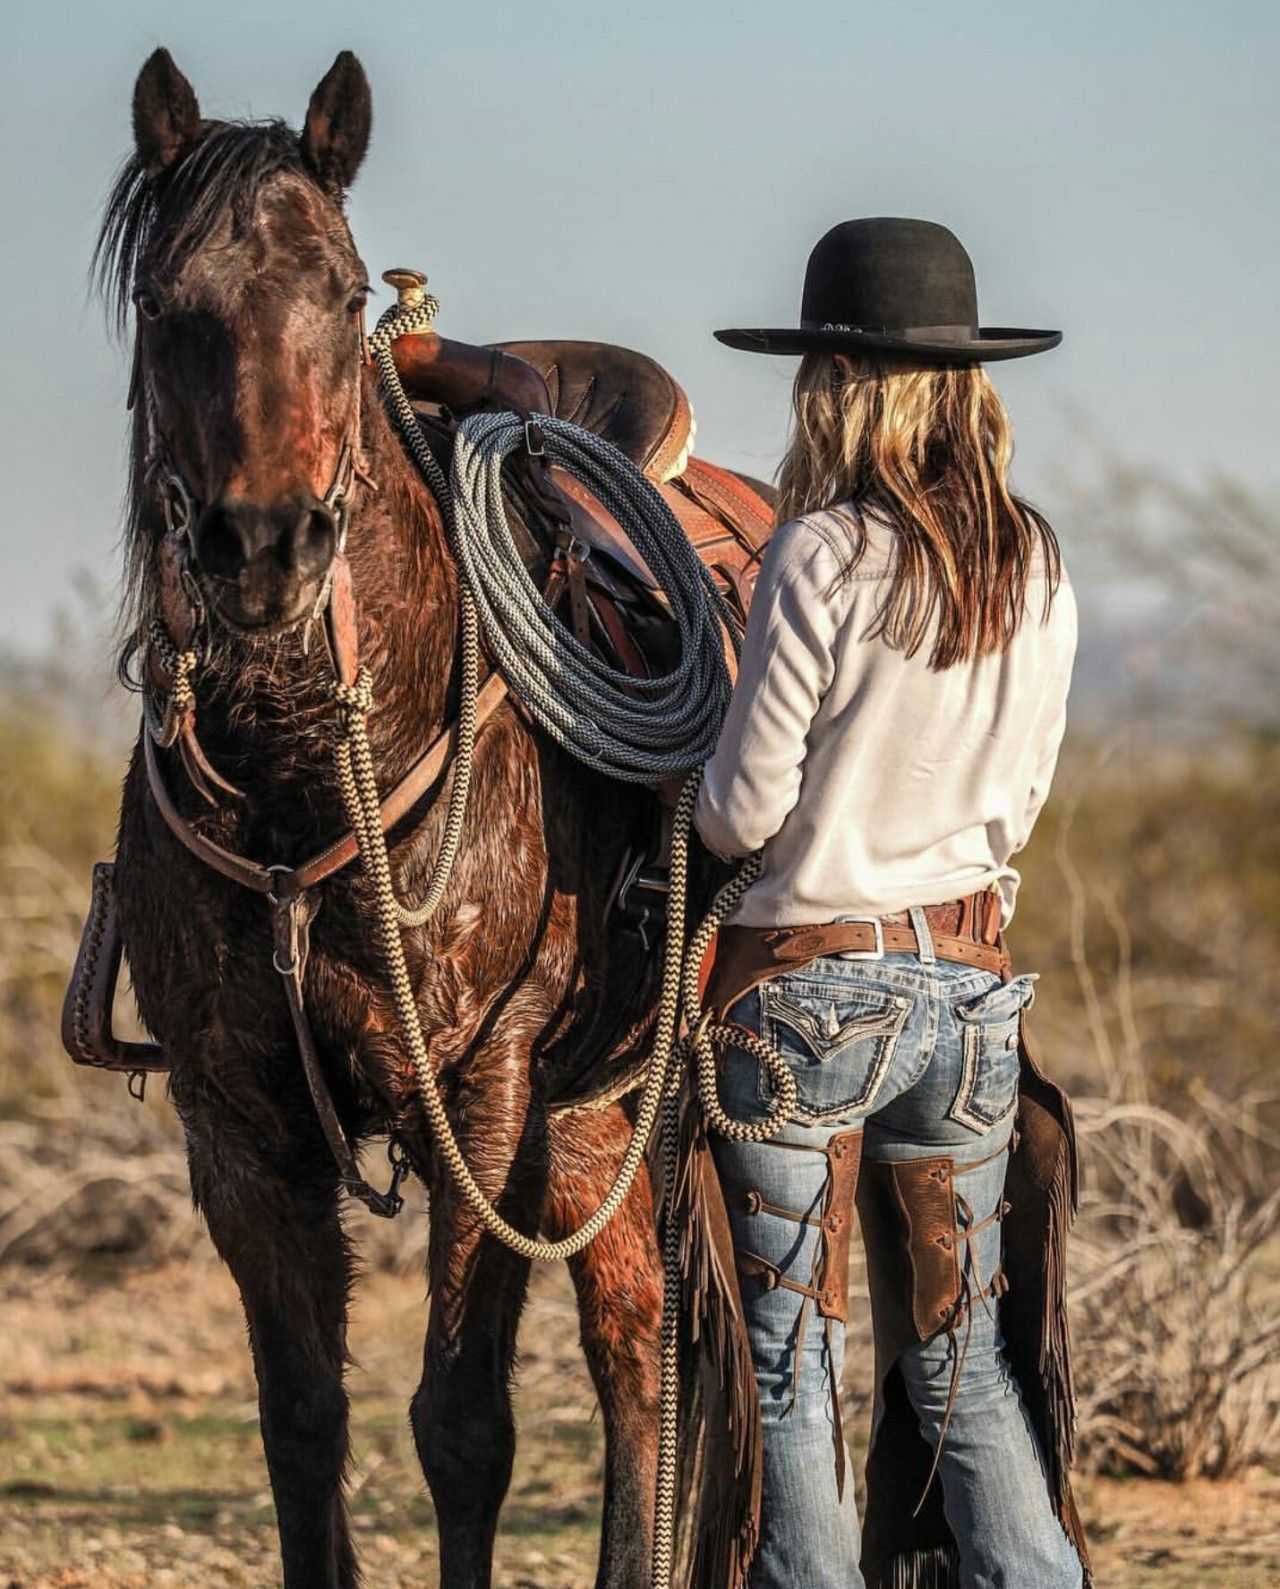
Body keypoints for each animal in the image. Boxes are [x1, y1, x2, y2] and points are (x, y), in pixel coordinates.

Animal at [96, 46, 682, 1589]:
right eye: (163, 302)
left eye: (347, 291)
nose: (263, 543)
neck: (302, 787)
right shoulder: (236, 1125)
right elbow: (303, 1424)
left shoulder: (479, 1095)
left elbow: (463, 1427)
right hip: (589, 1120)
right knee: (642, 1324)